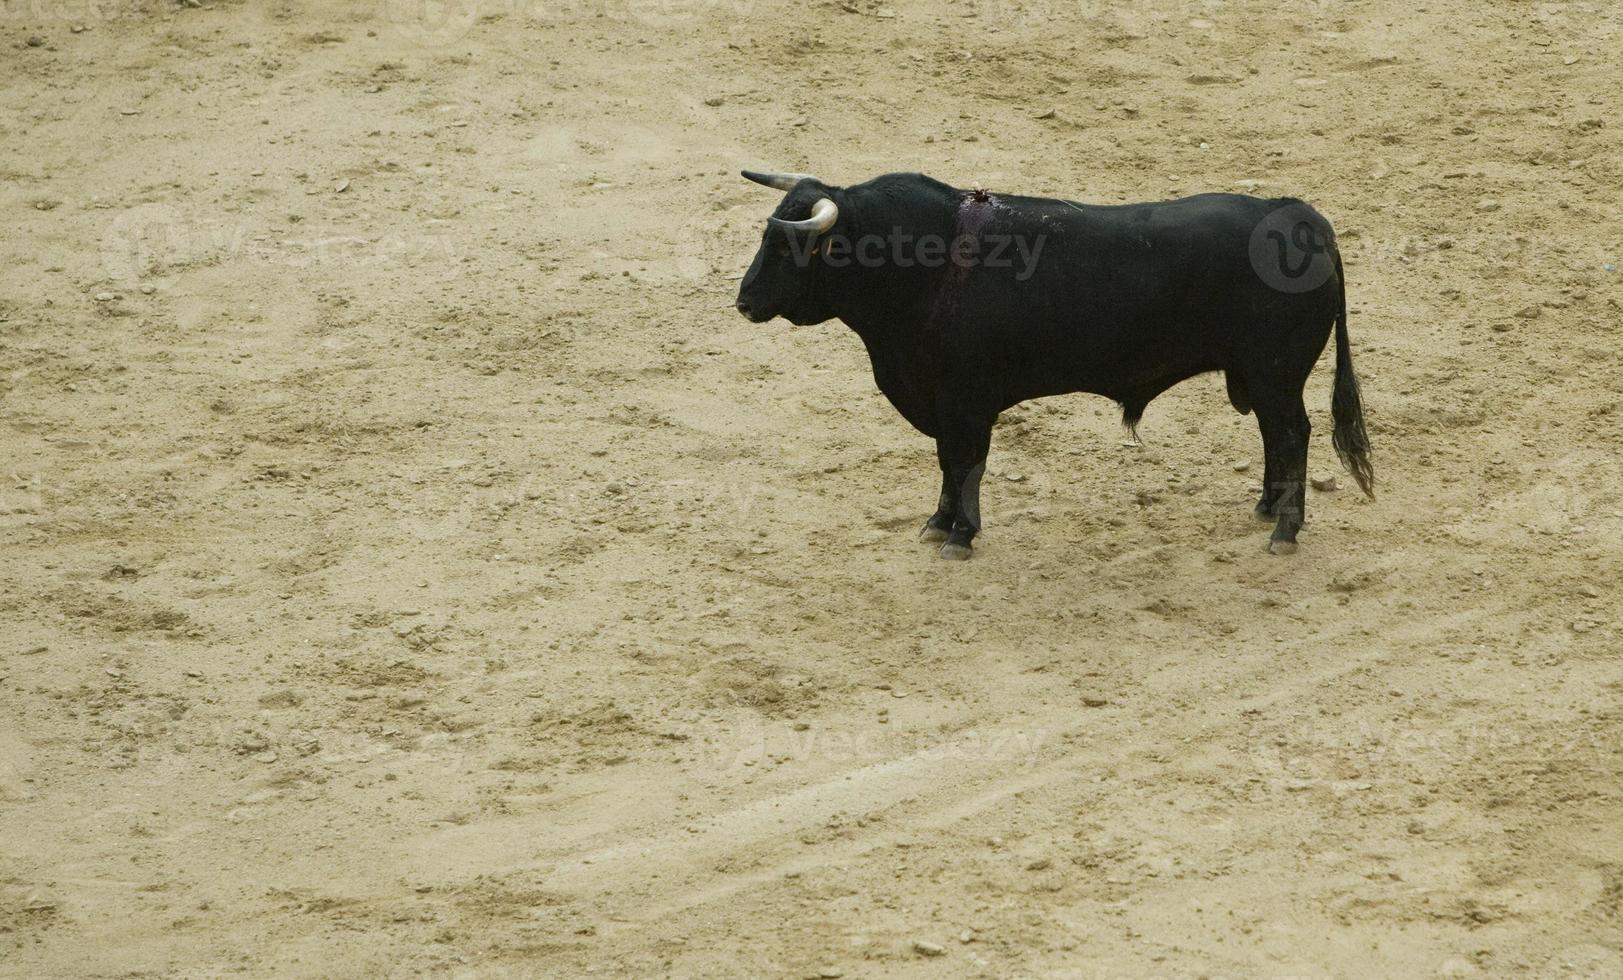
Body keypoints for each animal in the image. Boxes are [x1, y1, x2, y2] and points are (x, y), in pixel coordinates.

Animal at [736, 170, 1369, 558]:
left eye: (789, 245)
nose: (743, 302)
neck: (921, 265)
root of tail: (1299, 217)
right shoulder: (941, 402)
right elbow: (946, 464)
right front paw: (938, 524)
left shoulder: (965, 401)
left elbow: (965, 463)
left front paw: (960, 535)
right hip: (1262, 379)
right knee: (1274, 437)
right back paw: (1266, 508)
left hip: (1275, 375)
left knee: (1291, 434)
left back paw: (1285, 528)